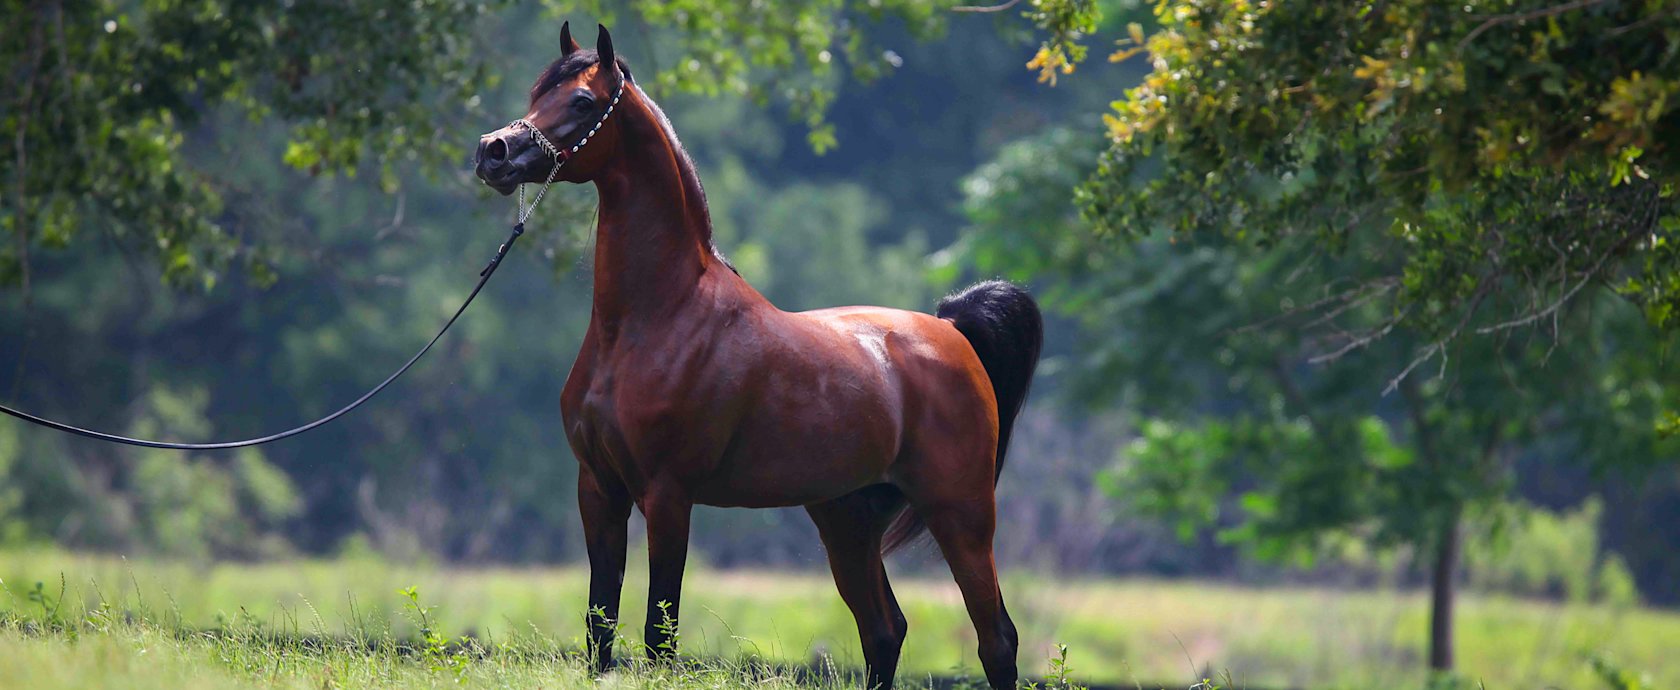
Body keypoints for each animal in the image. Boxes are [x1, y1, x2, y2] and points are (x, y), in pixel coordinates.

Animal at [474, 23, 1042, 690]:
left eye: (584, 102)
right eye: (538, 93)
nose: (493, 152)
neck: (651, 320)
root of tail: (951, 332)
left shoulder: (667, 495)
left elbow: (659, 633)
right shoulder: (599, 489)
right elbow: (600, 628)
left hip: (961, 514)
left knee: (996, 640)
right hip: (846, 520)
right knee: (885, 631)